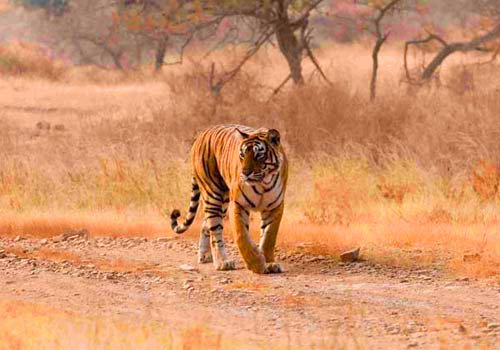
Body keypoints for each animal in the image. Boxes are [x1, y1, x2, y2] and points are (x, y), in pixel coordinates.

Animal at [171, 124, 288, 274]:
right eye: (242, 155)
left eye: (258, 155)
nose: (245, 173)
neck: (263, 183)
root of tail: (203, 133)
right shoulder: (238, 204)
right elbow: (241, 236)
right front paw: (256, 264)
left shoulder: (275, 206)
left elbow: (268, 237)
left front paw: (269, 263)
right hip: (213, 194)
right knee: (215, 231)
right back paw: (222, 262)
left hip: (223, 201)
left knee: (206, 224)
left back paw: (205, 256)